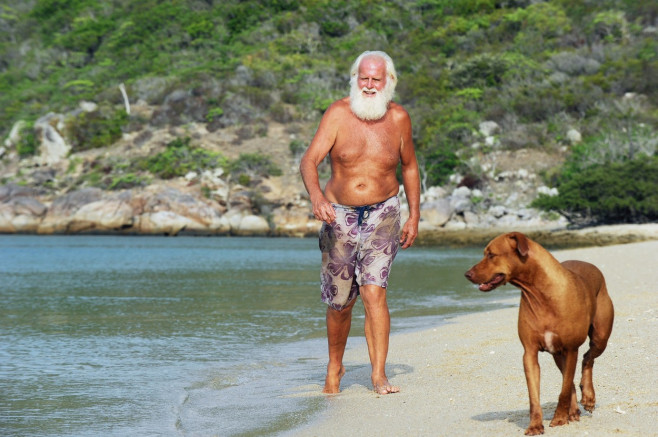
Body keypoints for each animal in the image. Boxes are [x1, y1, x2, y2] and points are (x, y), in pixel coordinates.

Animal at [464, 232, 612, 432]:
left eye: (491, 255)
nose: (467, 274)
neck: (540, 293)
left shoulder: (571, 349)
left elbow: (564, 389)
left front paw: (559, 418)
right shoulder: (530, 353)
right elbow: (535, 395)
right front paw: (535, 425)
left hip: (600, 336)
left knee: (587, 359)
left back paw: (588, 396)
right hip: (558, 354)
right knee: (571, 378)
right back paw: (573, 410)